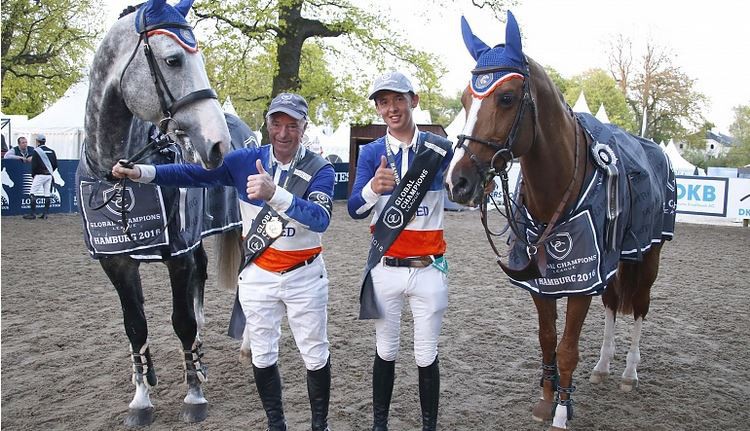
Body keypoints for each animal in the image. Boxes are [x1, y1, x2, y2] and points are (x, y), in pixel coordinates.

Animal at [444, 11, 680, 430]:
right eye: (465, 100)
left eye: (506, 98)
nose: (458, 181)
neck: (555, 190)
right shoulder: (544, 282)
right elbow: (547, 339)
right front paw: (546, 398)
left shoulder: (580, 278)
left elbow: (568, 347)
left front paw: (562, 408)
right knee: (612, 304)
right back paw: (603, 366)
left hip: (649, 256)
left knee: (639, 307)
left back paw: (628, 373)